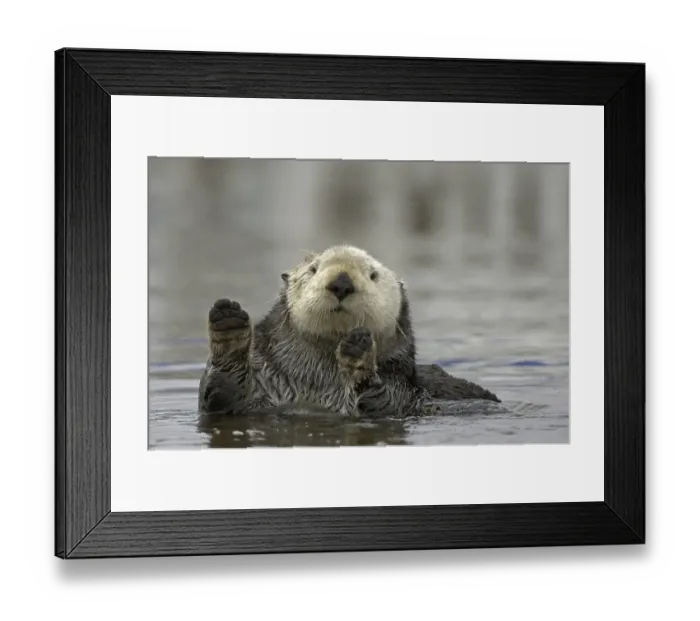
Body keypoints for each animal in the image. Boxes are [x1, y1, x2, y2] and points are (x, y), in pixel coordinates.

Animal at [198, 245, 499, 418]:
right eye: (313, 269)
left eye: (373, 275)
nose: (342, 282)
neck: (316, 380)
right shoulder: (262, 381)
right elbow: (223, 394)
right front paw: (229, 326)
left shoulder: (401, 389)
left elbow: (380, 401)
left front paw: (358, 356)